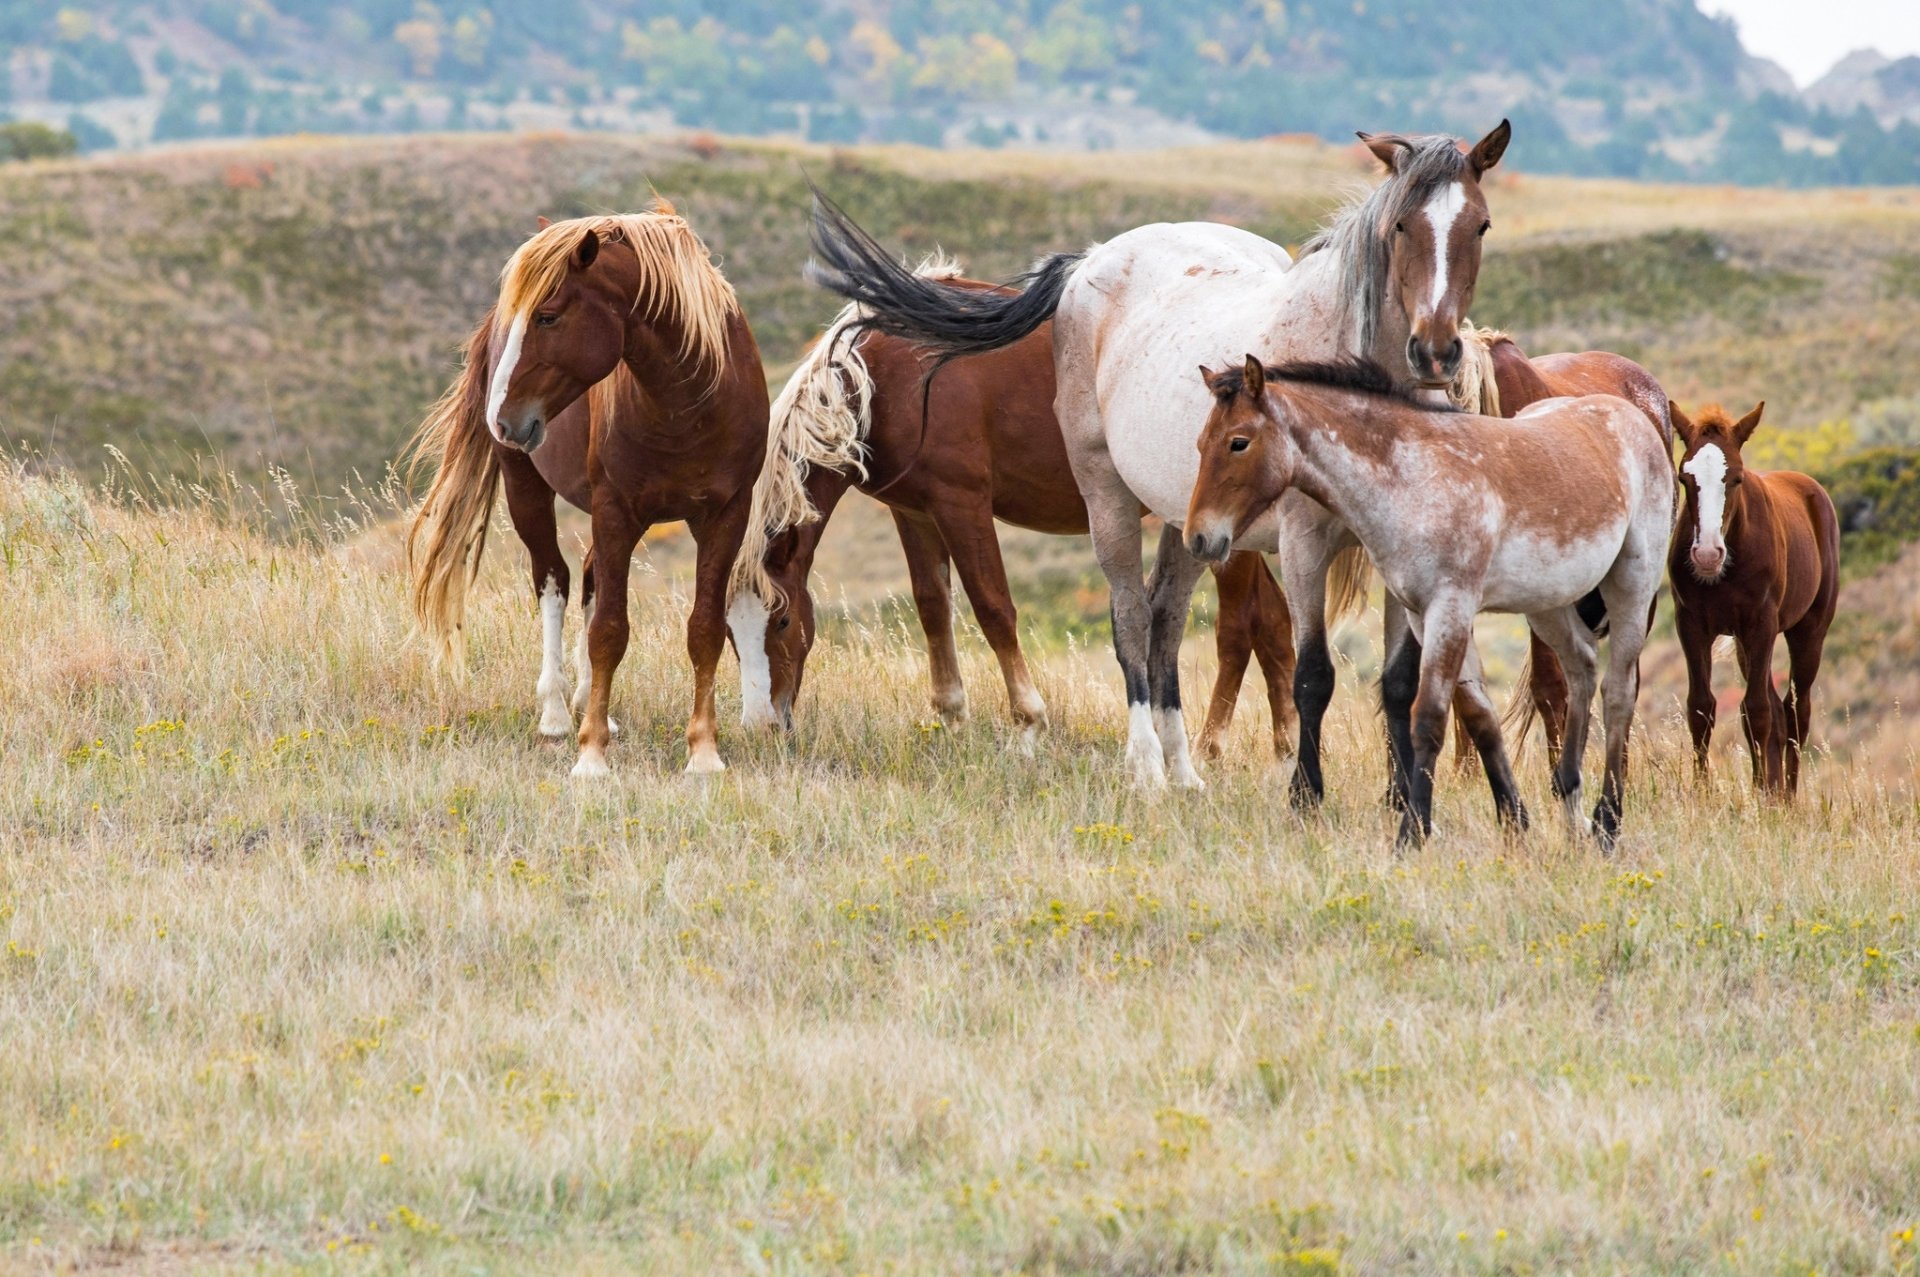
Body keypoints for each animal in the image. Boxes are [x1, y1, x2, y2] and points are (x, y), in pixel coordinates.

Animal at [406, 204, 768, 778]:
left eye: (548, 316)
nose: (500, 418)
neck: (690, 406)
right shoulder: (615, 511)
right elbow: (609, 632)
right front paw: (591, 755)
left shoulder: (725, 516)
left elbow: (705, 629)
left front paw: (704, 752)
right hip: (527, 491)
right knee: (553, 580)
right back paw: (556, 714)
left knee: (591, 579)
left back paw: (584, 702)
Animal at [726, 259, 1298, 756]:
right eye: (729, 631)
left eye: (781, 621)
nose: (761, 727)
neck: (890, 377)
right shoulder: (914, 514)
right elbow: (933, 605)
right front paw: (952, 719)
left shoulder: (962, 504)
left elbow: (993, 606)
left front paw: (1028, 723)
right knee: (1270, 621)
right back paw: (1281, 749)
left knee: (1242, 625)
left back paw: (1213, 747)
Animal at [806, 124, 1513, 792]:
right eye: (1401, 225)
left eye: (1481, 224)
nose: (1436, 352)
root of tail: (1092, 261)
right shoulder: (1303, 544)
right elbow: (1314, 673)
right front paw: (1305, 796)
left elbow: (1399, 681)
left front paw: (1403, 804)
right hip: (1109, 499)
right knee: (1131, 619)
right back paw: (1146, 767)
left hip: (1188, 526)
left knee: (1166, 622)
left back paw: (1184, 771)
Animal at [1186, 356, 1674, 847]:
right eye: (1200, 443)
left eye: (1238, 442)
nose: (1199, 539)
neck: (1415, 477)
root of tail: (1634, 414)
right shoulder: (1422, 613)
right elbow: (1479, 715)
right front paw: (1509, 821)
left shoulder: (1450, 609)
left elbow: (1430, 718)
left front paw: (1412, 831)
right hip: (1548, 605)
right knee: (1582, 669)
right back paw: (1570, 802)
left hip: (1631, 588)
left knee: (1618, 693)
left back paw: (1607, 820)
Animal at [1669, 402, 1839, 796]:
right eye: (1685, 479)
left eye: (1736, 478)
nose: (1707, 555)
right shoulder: (1691, 625)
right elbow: (1701, 707)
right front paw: (1703, 794)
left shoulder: (1761, 624)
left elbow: (1757, 711)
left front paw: (1766, 800)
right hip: (1745, 645)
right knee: (1777, 710)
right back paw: (1773, 789)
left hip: (1808, 630)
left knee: (1795, 711)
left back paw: (1787, 796)